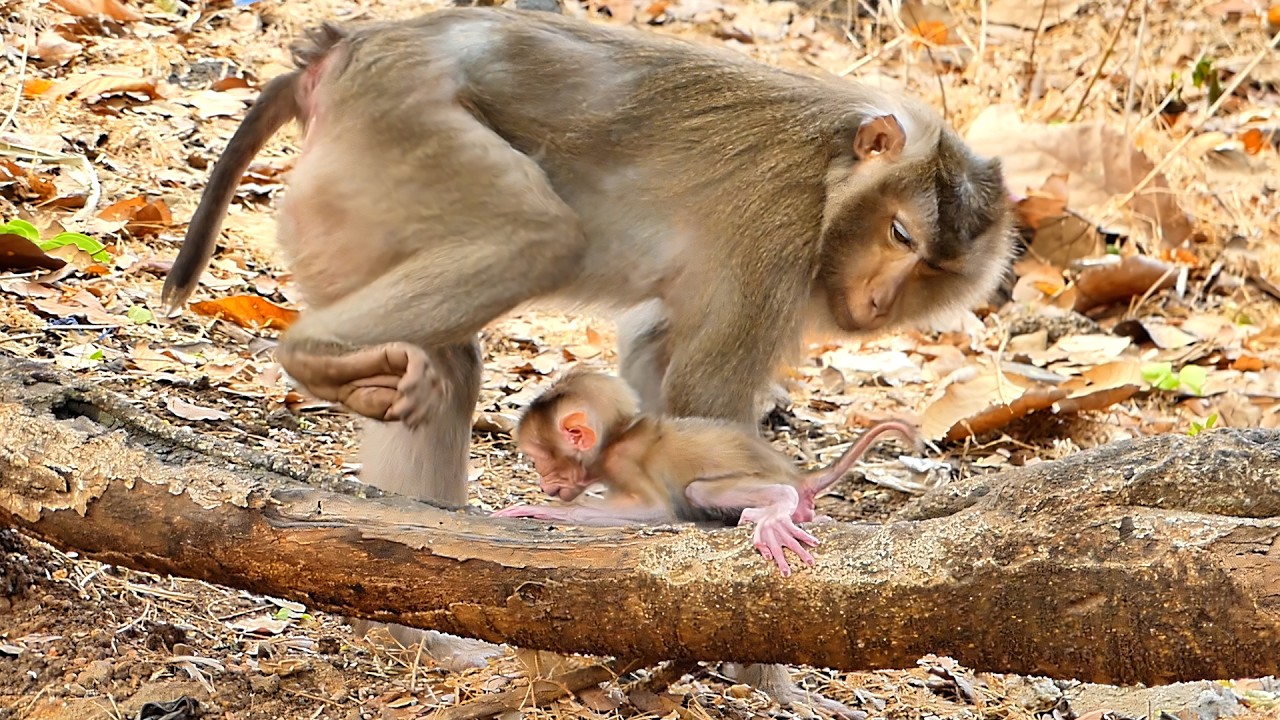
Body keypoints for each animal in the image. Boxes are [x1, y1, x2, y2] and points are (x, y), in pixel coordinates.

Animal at [493, 372, 919, 575]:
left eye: (539, 459)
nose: (543, 482)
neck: (616, 438)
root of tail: (797, 475)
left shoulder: (622, 462)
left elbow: (655, 511)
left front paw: (546, 511)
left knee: (701, 492)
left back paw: (778, 507)